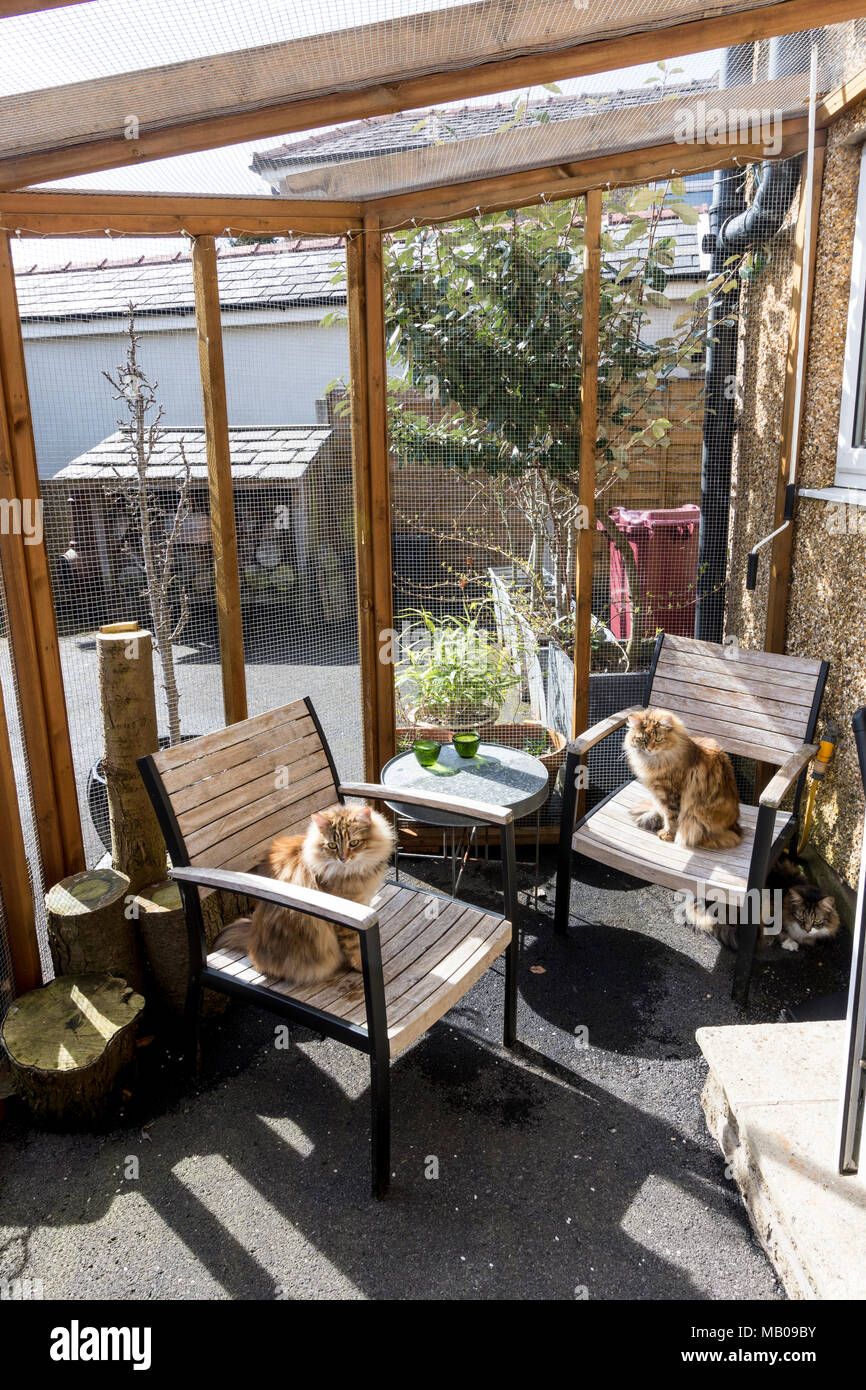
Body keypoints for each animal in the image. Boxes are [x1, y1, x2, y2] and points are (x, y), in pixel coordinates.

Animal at [215, 806, 394, 989]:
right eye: (332, 845)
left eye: (354, 843)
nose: (343, 858)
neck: (353, 870)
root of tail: (252, 935)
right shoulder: (348, 914)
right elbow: (354, 945)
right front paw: (359, 966)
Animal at [625, 711, 739, 850]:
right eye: (642, 739)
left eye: (658, 739)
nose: (649, 749)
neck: (655, 761)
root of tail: (736, 827)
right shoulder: (659, 794)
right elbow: (665, 815)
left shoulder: (671, 795)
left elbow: (672, 818)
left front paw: (668, 834)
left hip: (696, 818)